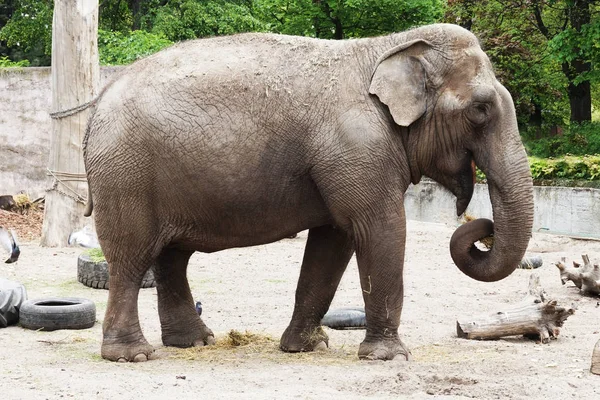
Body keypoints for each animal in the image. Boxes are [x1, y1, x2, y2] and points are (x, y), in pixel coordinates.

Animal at [83, 24, 536, 362]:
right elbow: (380, 229)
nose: (481, 227)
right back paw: (133, 355)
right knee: (131, 257)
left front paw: (307, 346)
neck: (388, 46)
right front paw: (389, 357)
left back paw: (195, 342)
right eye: (480, 109)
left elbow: (333, 243)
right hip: (125, 174)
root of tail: (97, 103)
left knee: (171, 256)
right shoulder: (358, 146)